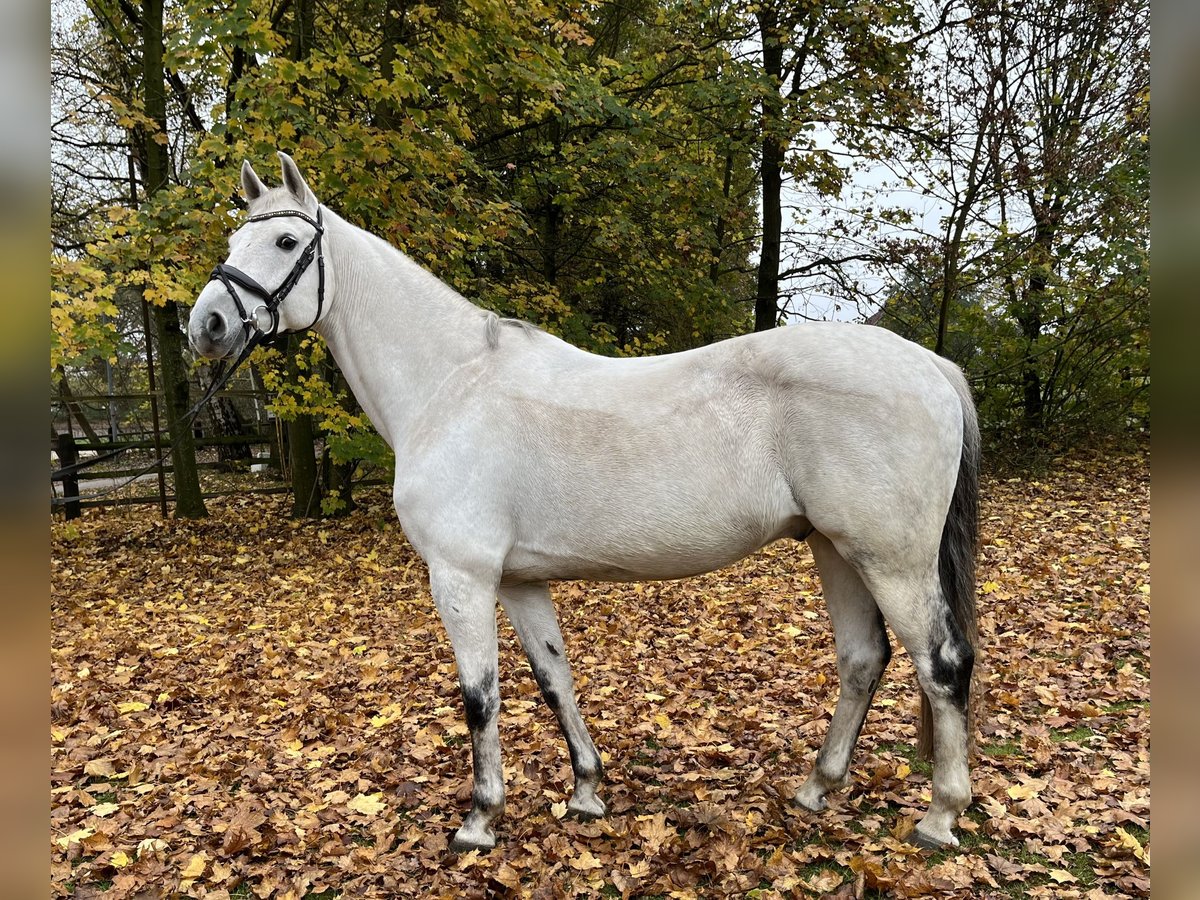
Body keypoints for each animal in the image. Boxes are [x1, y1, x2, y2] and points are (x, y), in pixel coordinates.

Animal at [184, 153, 974, 854]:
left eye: (286, 242)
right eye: (232, 242)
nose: (207, 325)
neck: (450, 385)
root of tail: (929, 363)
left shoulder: (461, 576)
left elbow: (480, 695)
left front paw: (479, 821)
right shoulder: (520, 581)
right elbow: (553, 678)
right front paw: (587, 790)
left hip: (892, 560)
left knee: (942, 664)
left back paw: (940, 816)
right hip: (836, 548)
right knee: (863, 659)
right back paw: (817, 787)